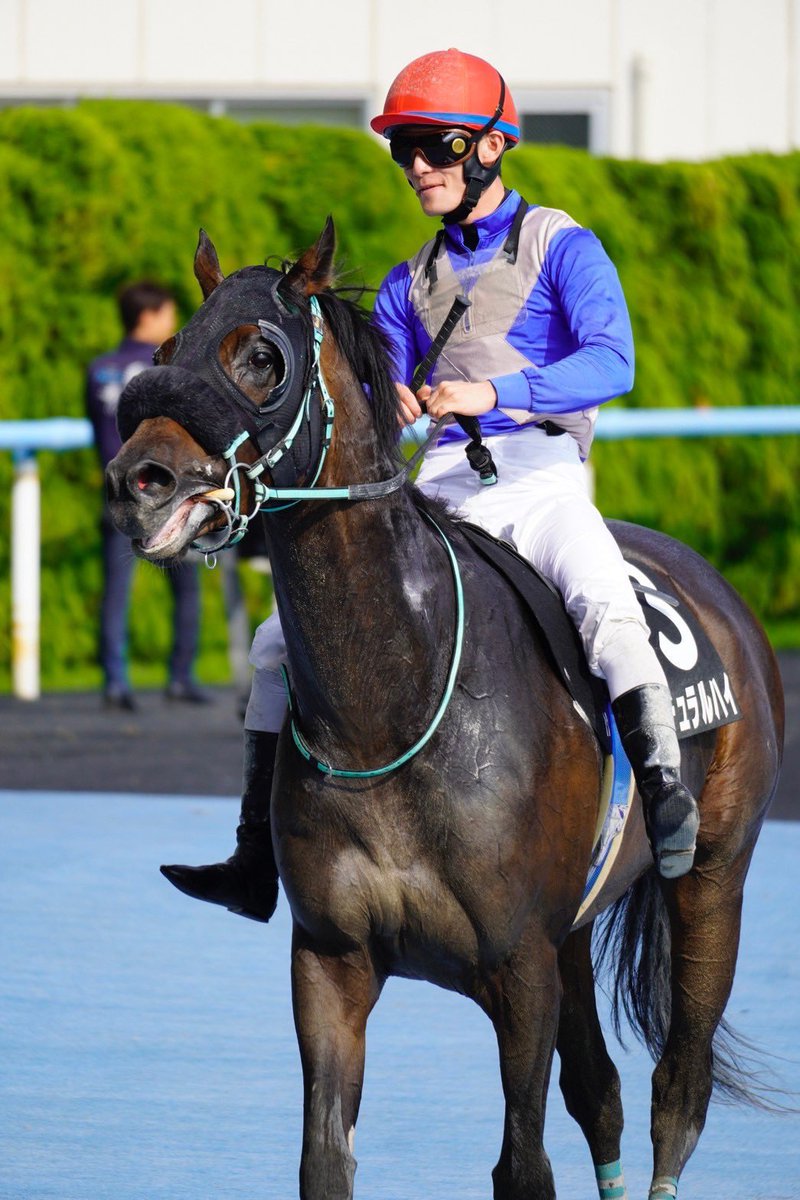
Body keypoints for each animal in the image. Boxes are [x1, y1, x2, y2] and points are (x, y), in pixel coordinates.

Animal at [105, 219, 784, 1200]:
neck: (398, 700)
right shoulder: (332, 960)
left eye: (262, 357)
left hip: (712, 883)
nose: (137, 480)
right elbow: (325, 1160)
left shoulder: (521, 969)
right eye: (162, 354)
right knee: (603, 1093)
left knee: (678, 1092)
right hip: (575, 932)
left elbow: (523, 1166)